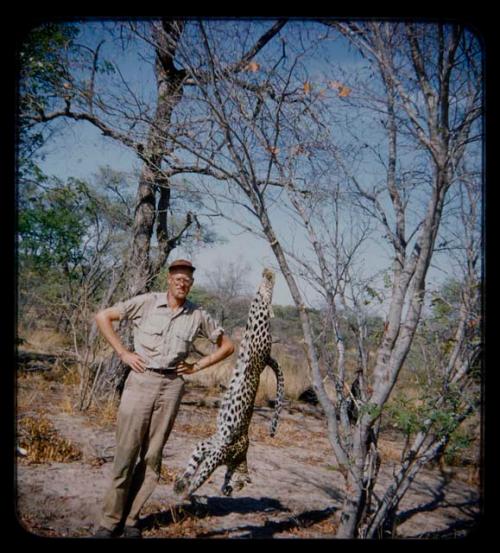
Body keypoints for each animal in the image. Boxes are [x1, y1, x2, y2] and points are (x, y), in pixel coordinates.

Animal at [175, 268, 286, 500]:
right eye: (241, 485)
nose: (230, 492)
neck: (240, 459)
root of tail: (266, 358)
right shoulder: (216, 455)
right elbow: (201, 477)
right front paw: (188, 492)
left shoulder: (206, 446)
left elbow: (193, 465)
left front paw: (181, 484)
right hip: (258, 339)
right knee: (263, 306)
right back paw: (269, 274)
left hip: (251, 340)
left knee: (257, 303)